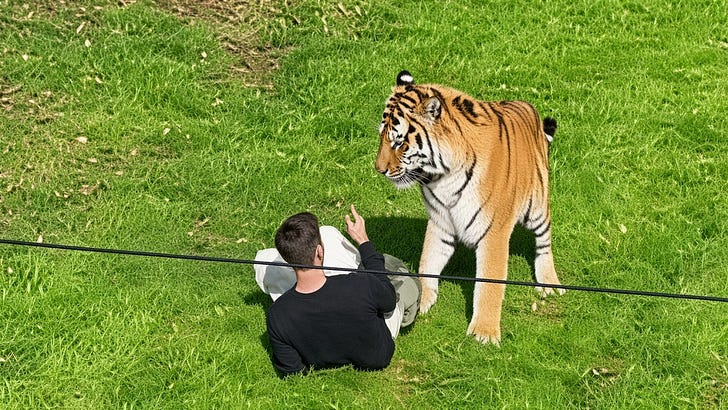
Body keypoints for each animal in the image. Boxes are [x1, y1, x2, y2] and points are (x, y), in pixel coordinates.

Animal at [375, 70, 564, 345]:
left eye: (399, 143)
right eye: (381, 137)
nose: (379, 169)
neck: (442, 177)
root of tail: (529, 108)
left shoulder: (494, 233)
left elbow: (489, 284)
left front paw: (484, 332)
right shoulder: (440, 221)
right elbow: (428, 261)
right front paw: (422, 299)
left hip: (537, 207)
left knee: (544, 241)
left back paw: (549, 282)